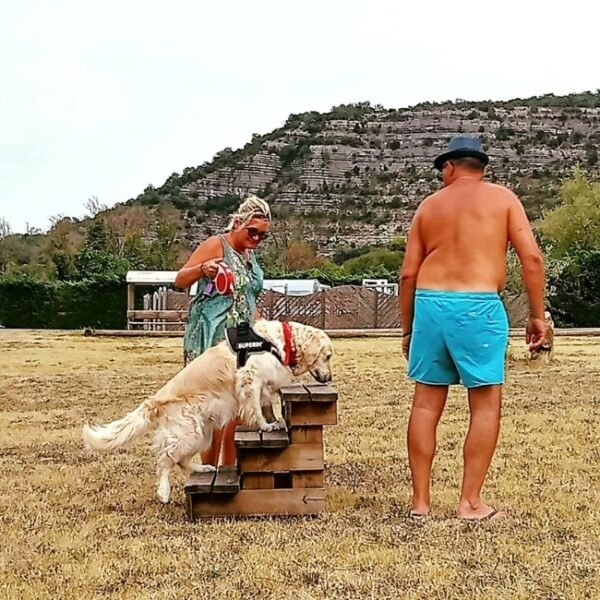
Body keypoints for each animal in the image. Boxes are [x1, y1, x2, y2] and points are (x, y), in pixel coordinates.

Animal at [81, 322, 332, 504]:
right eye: (328, 356)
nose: (329, 378)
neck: (279, 342)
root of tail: (155, 402)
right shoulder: (250, 378)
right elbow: (256, 407)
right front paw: (264, 426)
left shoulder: (263, 384)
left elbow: (266, 404)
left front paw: (274, 422)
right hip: (187, 433)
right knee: (165, 460)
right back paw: (164, 492)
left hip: (203, 434)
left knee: (182, 461)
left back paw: (202, 468)